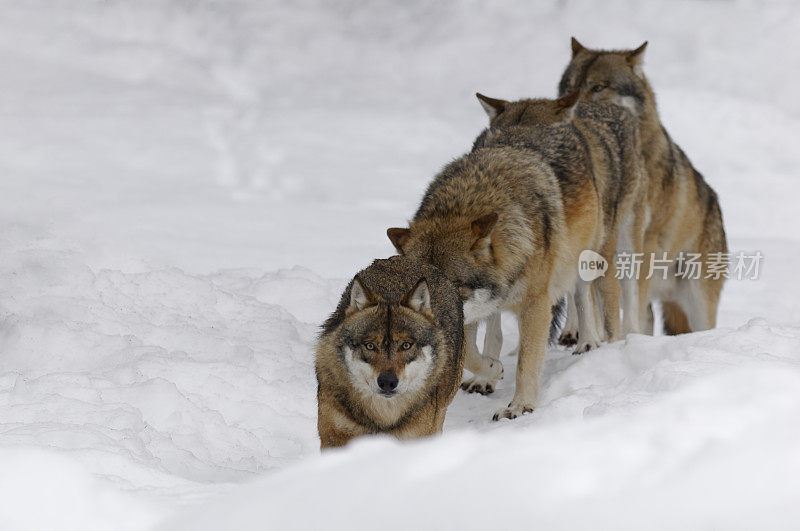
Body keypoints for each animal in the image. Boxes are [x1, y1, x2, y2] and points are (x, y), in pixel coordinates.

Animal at [312, 256, 462, 446]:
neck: (384, 417)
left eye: (406, 345)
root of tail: (408, 259)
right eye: (370, 346)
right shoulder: (334, 437)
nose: (388, 382)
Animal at [386, 141, 600, 420]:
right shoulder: (468, 315)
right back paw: (484, 379)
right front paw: (492, 369)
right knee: (494, 332)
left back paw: (588, 341)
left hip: (582, 257)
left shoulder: (535, 306)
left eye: (451, 285)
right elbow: (470, 354)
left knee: (582, 295)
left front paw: (519, 406)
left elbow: (526, 362)